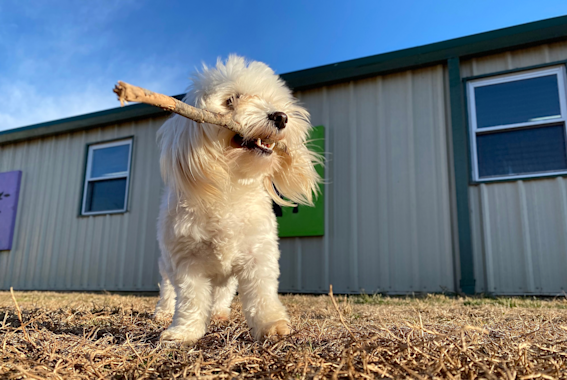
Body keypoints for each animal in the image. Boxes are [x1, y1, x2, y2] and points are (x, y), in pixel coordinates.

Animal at [155, 55, 322, 342]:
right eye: (231, 99)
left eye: (274, 102)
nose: (281, 117)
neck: (231, 186)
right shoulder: (187, 262)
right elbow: (190, 300)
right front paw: (183, 332)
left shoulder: (258, 254)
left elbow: (262, 295)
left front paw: (272, 325)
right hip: (167, 264)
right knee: (168, 290)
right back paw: (164, 312)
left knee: (223, 293)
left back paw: (220, 314)